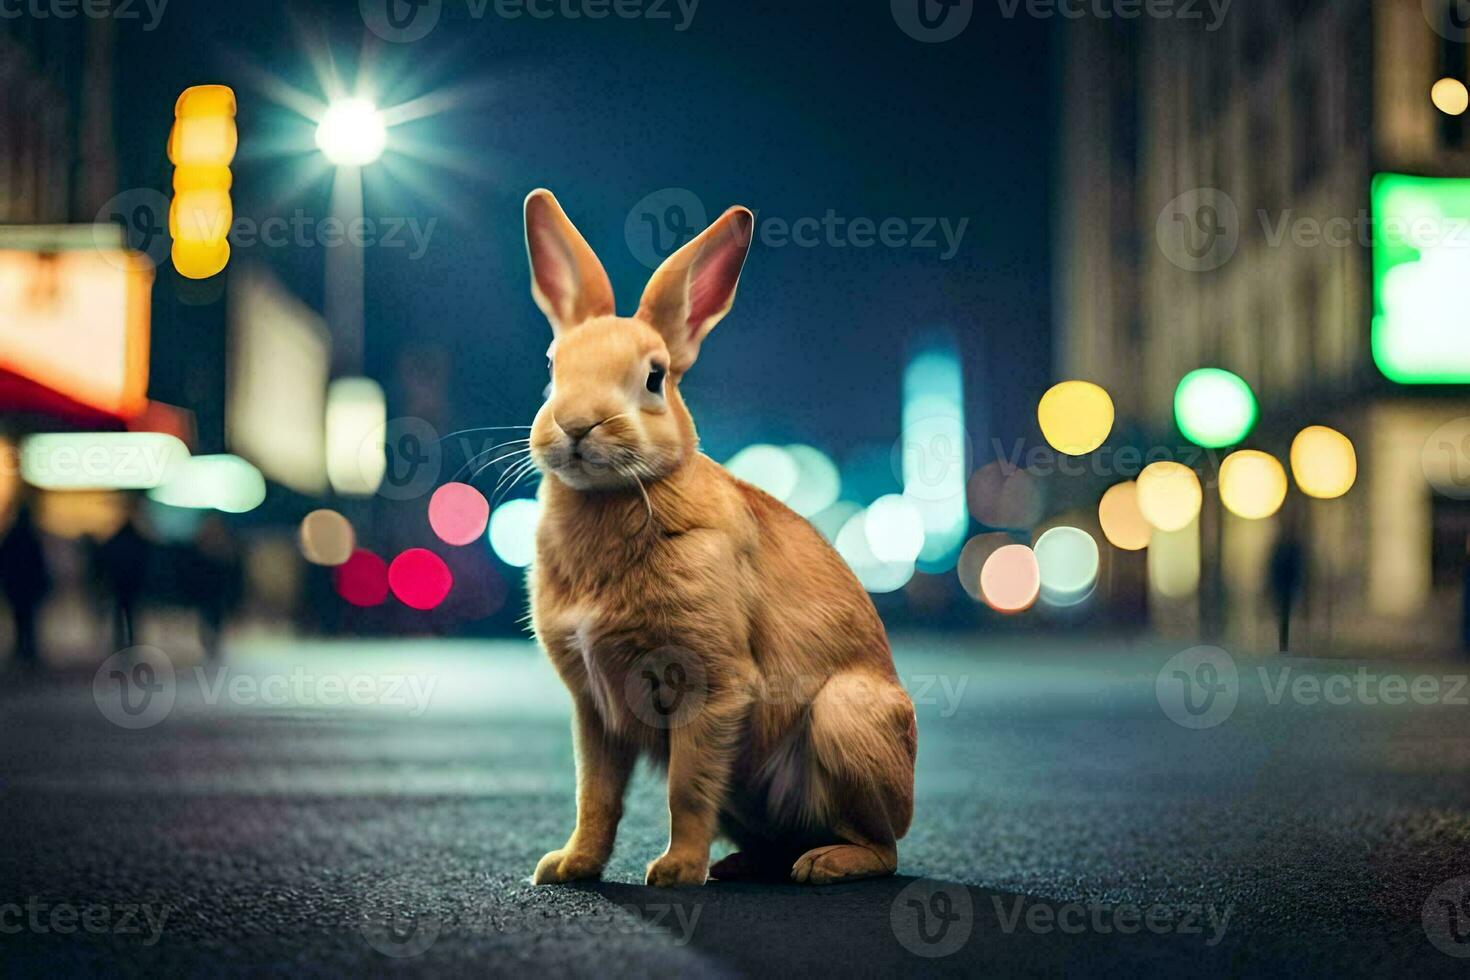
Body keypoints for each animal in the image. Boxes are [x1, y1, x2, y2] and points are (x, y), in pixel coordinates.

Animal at [523, 185, 911, 887]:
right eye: (551, 366)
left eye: (654, 378)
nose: (576, 425)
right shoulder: (594, 707)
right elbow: (596, 794)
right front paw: (568, 867)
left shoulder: (711, 686)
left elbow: (686, 787)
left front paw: (675, 872)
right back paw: (742, 865)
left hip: (847, 722)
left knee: (883, 847)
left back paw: (823, 864)